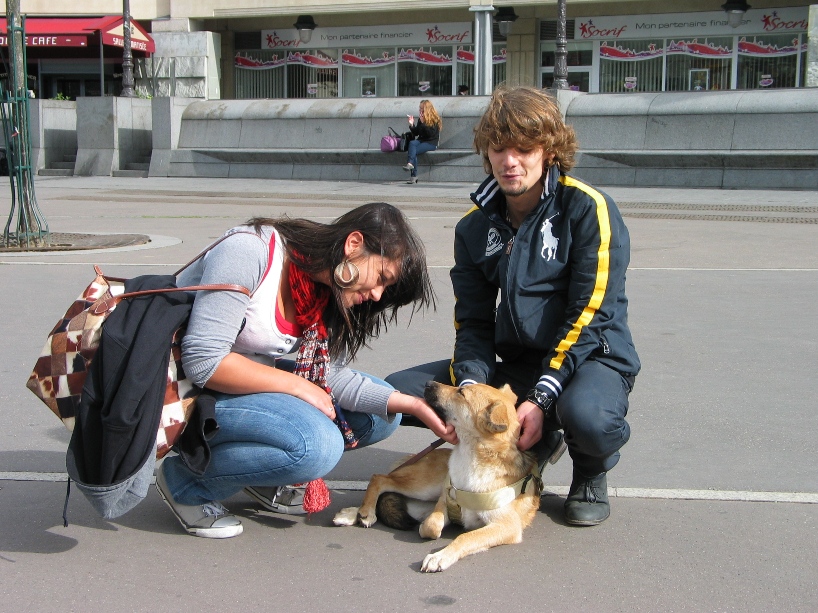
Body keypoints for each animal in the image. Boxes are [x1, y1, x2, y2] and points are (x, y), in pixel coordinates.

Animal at [332, 380, 540, 572]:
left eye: (461, 392)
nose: (428, 383)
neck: (472, 455)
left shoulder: (507, 526)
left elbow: (465, 537)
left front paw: (441, 556)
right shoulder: (444, 498)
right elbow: (431, 526)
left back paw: (358, 513)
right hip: (425, 487)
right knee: (380, 478)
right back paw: (362, 512)